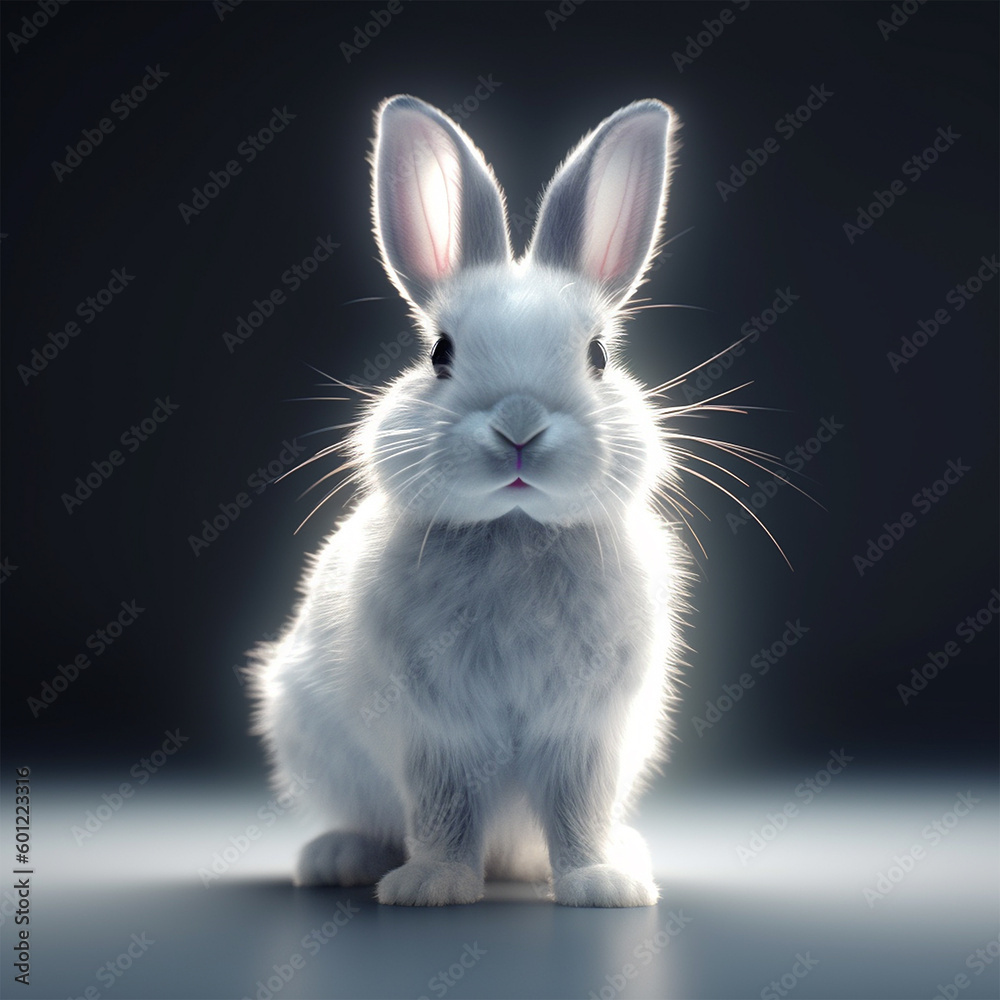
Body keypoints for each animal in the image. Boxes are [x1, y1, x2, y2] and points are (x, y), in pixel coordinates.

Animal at [249, 94, 690, 907]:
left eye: (599, 356)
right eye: (440, 354)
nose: (518, 424)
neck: (515, 529)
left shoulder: (583, 734)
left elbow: (578, 810)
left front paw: (601, 886)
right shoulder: (437, 732)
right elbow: (444, 808)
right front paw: (432, 888)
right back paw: (339, 859)